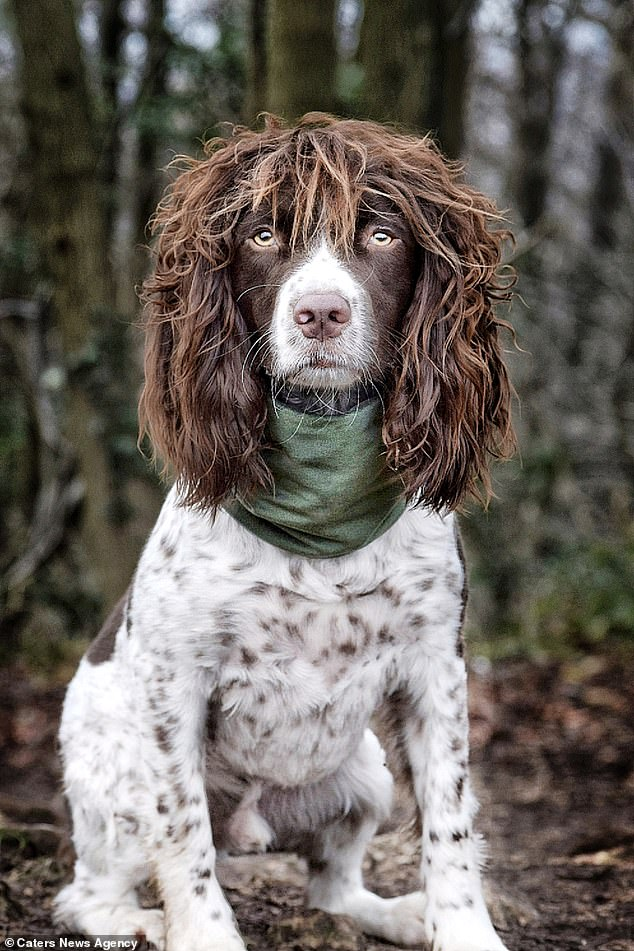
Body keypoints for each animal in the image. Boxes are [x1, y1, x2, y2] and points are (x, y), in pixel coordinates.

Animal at [55, 113, 512, 951]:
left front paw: (463, 929)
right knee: (89, 892)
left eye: (381, 234)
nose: (321, 313)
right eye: (264, 234)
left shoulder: (436, 664)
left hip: (364, 773)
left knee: (332, 887)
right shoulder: (175, 680)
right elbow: (185, 838)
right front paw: (203, 934)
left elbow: (451, 823)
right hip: (119, 786)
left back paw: (400, 913)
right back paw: (145, 922)